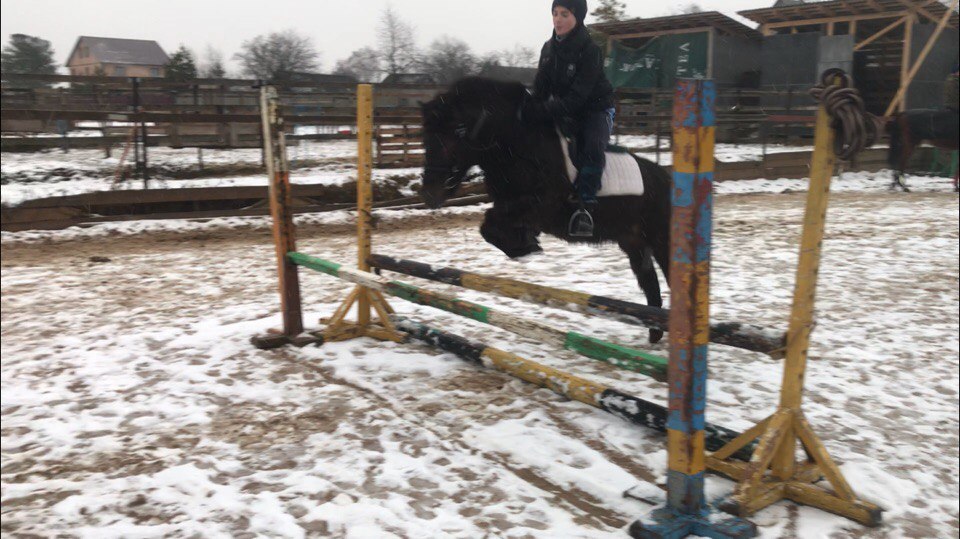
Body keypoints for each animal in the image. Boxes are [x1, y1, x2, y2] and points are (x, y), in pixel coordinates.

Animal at [418, 77, 673, 344]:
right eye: (425, 136)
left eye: (458, 131)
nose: (430, 194)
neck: (519, 148)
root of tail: (668, 180)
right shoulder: (509, 206)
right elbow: (490, 227)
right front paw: (525, 244)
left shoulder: (542, 207)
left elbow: (491, 224)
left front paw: (527, 246)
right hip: (634, 242)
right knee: (650, 282)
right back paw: (655, 333)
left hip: (660, 239)